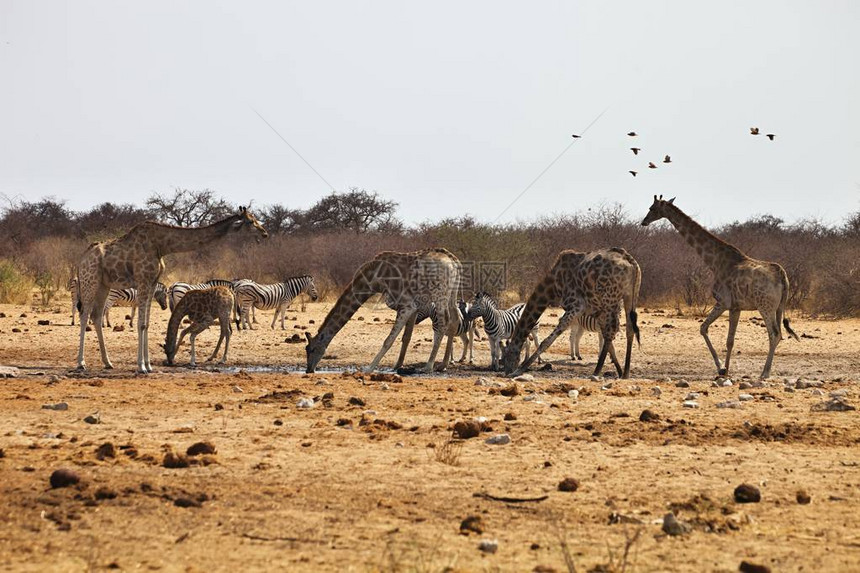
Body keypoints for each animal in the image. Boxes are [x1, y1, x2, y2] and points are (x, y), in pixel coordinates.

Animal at [75, 208, 268, 374]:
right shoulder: (143, 280)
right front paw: (141, 366)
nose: (264, 233)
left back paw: (108, 362)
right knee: (84, 315)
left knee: (96, 316)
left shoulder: (152, 282)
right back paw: (81, 363)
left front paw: (149, 365)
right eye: (251, 221)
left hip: (104, 284)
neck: (162, 245)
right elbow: (141, 323)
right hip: (90, 280)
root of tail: (82, 259)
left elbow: (146, 323)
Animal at [304, 247, 460, 374]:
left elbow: (388, 340)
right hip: (452, 294)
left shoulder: (407, 305)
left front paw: (369, 368)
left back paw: (428, 366)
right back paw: (443, 365)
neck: (374, 281)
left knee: (443, 322)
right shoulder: (414, 307)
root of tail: (454, 261)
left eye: (311, 349)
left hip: (439, 294)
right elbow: (406, 337)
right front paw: (397, 366)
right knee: (454, 320)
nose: (309, 370)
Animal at [498, 247, 640, 378]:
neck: (552, 287)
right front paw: (619, 371)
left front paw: (519, 370)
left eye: (507, 357)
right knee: (629, 329)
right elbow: (607, 339)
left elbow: (547, 340)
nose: (506, 372)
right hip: (629, 295)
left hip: (610, 298)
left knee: (613, 331)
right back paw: (625, 373)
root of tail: (631, 263)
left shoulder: (576, 305)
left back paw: (596, 371)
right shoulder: (594, 310)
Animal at [640, 194, 800, 378]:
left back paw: (765, 373)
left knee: (774, 333)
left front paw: (721, 367)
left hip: (765, 306)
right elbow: (729, 340)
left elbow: (703, 328)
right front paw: (726, 369)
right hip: (779, 307)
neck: (714, 262)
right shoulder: (735, 307)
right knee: (779, 334)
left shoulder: (722, 302)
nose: (644, 221)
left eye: (652, 208)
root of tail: (782, 276)